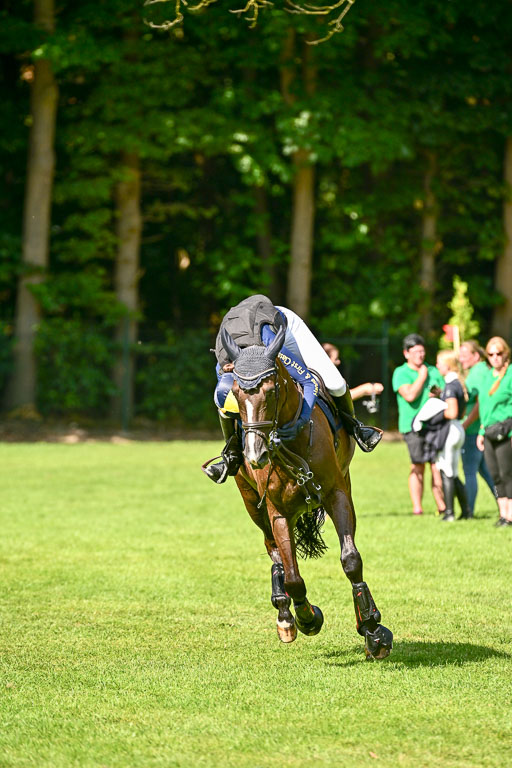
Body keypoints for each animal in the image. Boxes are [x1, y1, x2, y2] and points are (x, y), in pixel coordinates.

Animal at [219, 315, 393, 660]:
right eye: (236, 395)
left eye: (272, 390)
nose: (254, 455)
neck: (289, 441)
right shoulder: (277, 512)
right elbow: (294, 577)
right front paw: (308, 618)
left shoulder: (336, 494)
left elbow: (351, 559)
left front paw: (372, 629)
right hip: (251, 502)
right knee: (273, 552)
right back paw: (285, 616)